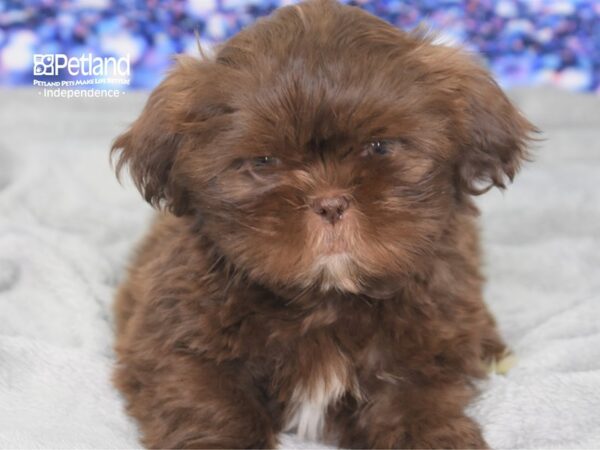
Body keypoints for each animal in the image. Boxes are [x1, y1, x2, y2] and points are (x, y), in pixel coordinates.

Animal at [111, 1, 536, 448]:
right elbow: (211, 406)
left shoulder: (424, 351)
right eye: (264, 161)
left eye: (380, 147)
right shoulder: (180, 342)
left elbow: (417, 409)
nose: (330, 203)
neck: (326, 296)